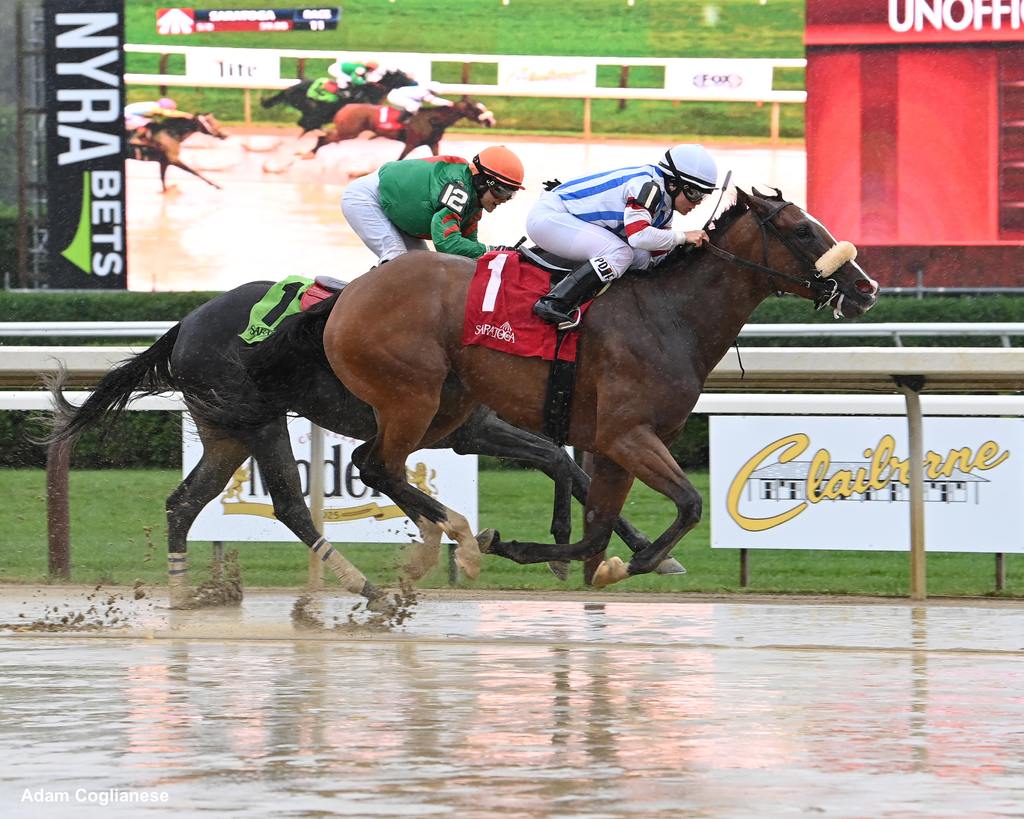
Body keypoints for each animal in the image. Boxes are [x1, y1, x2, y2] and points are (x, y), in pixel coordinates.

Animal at [44, 282, 675, 606]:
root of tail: (184, 325)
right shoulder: (470, 430)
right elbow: (558, 460)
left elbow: (568, 465)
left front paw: (636, 551)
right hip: (258, 416)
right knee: (288, 504)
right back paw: (368, 588)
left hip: (225, 429)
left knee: (185, 502)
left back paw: (182, 597)